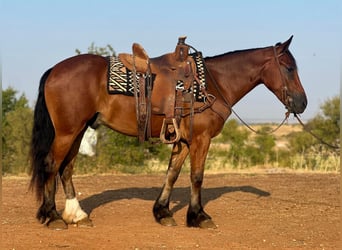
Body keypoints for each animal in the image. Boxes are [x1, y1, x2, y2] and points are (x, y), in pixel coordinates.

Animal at [29, 36, 308, 229]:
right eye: (289, 68)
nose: (302, 103)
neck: (214, 83)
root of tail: (54, 70)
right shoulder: (200, 139)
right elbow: (196, 176)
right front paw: (198, 217)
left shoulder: (183, 140)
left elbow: (172, 174)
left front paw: (162, 212)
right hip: (67, 132)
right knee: (52, 165)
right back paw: (52, 216)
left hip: (78, 131)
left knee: (66, 168)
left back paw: (77, 215)